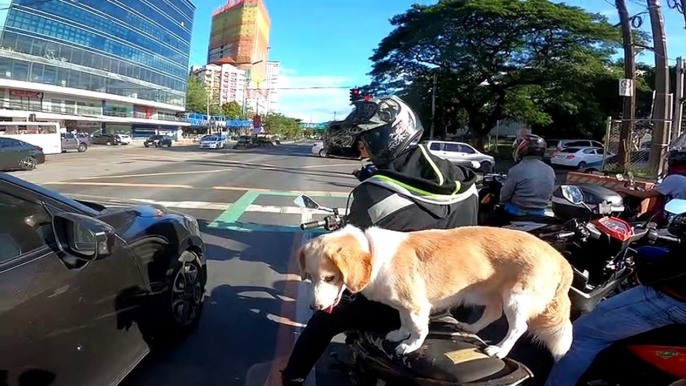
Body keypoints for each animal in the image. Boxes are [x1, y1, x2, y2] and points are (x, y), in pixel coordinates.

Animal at [300, 225, 576, 360]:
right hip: (487, 294)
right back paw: (471, 328)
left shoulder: (417, 306)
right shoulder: (404, 306)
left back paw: (500, 349)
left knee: (518, 328)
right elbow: (403, 321)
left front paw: (410, 345)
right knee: (493, 313)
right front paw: (400, 333)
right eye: (310, 277)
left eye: (330, 278)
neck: (373, 252)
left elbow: (419, 330)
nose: (314, 308)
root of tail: (560, 259)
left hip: (516, 299)